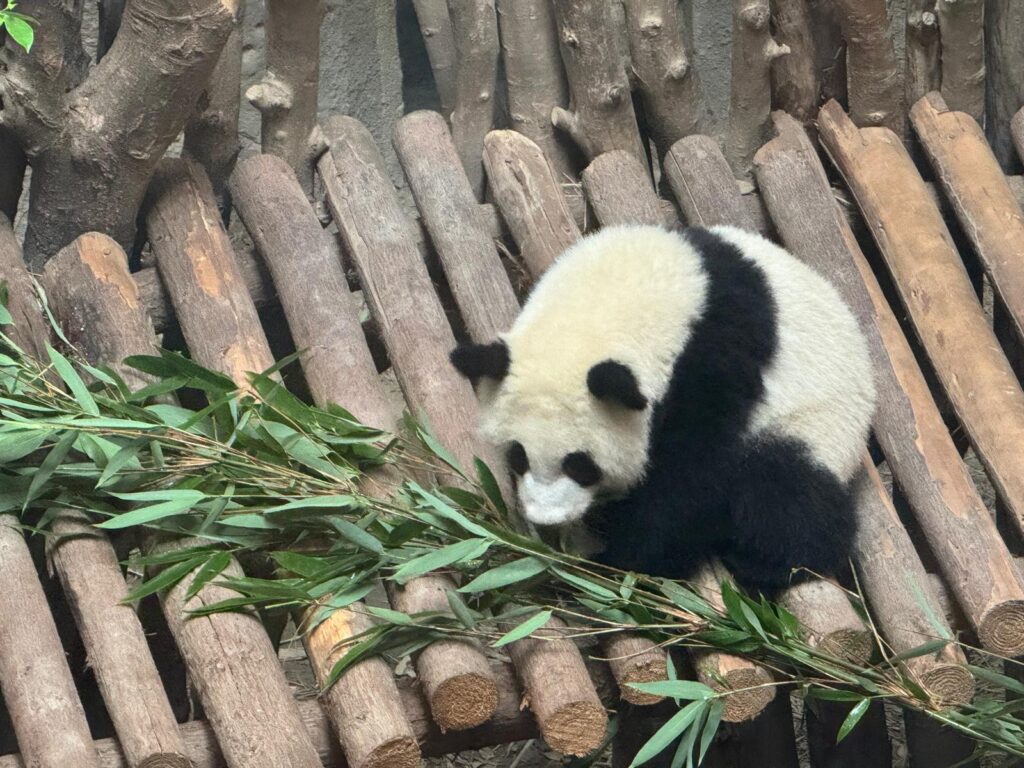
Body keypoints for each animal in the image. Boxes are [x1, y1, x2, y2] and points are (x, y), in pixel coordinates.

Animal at [450, 224, 876, 593]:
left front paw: (625, 557)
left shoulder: (714, 361)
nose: (546, 516)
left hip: (813, 420)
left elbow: (691, 476)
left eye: (581, 465)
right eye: (518, 456)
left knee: (785, 492)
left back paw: (768, 563)